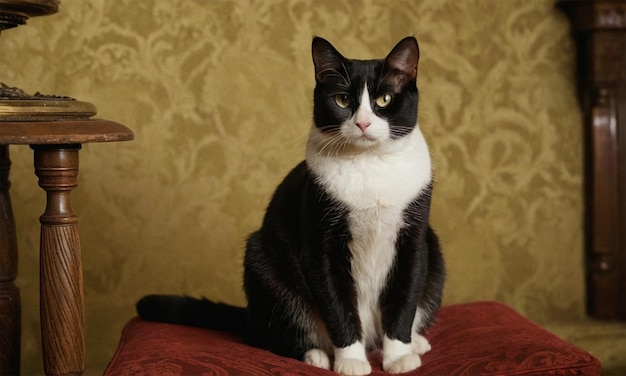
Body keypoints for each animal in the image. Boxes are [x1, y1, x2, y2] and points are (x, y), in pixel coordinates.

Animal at [139, 36, 446, 376]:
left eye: (384, 98)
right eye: (342, 100)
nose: (363, 123)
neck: (369, 164)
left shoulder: (413, 239)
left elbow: (405, 296)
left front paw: (398, 357)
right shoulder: (320, 240)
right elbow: (337, 304)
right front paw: (350, 361)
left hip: (434, 252)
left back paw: (415, 342)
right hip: (265, 264)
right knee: (266, 334)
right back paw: (316, 354)